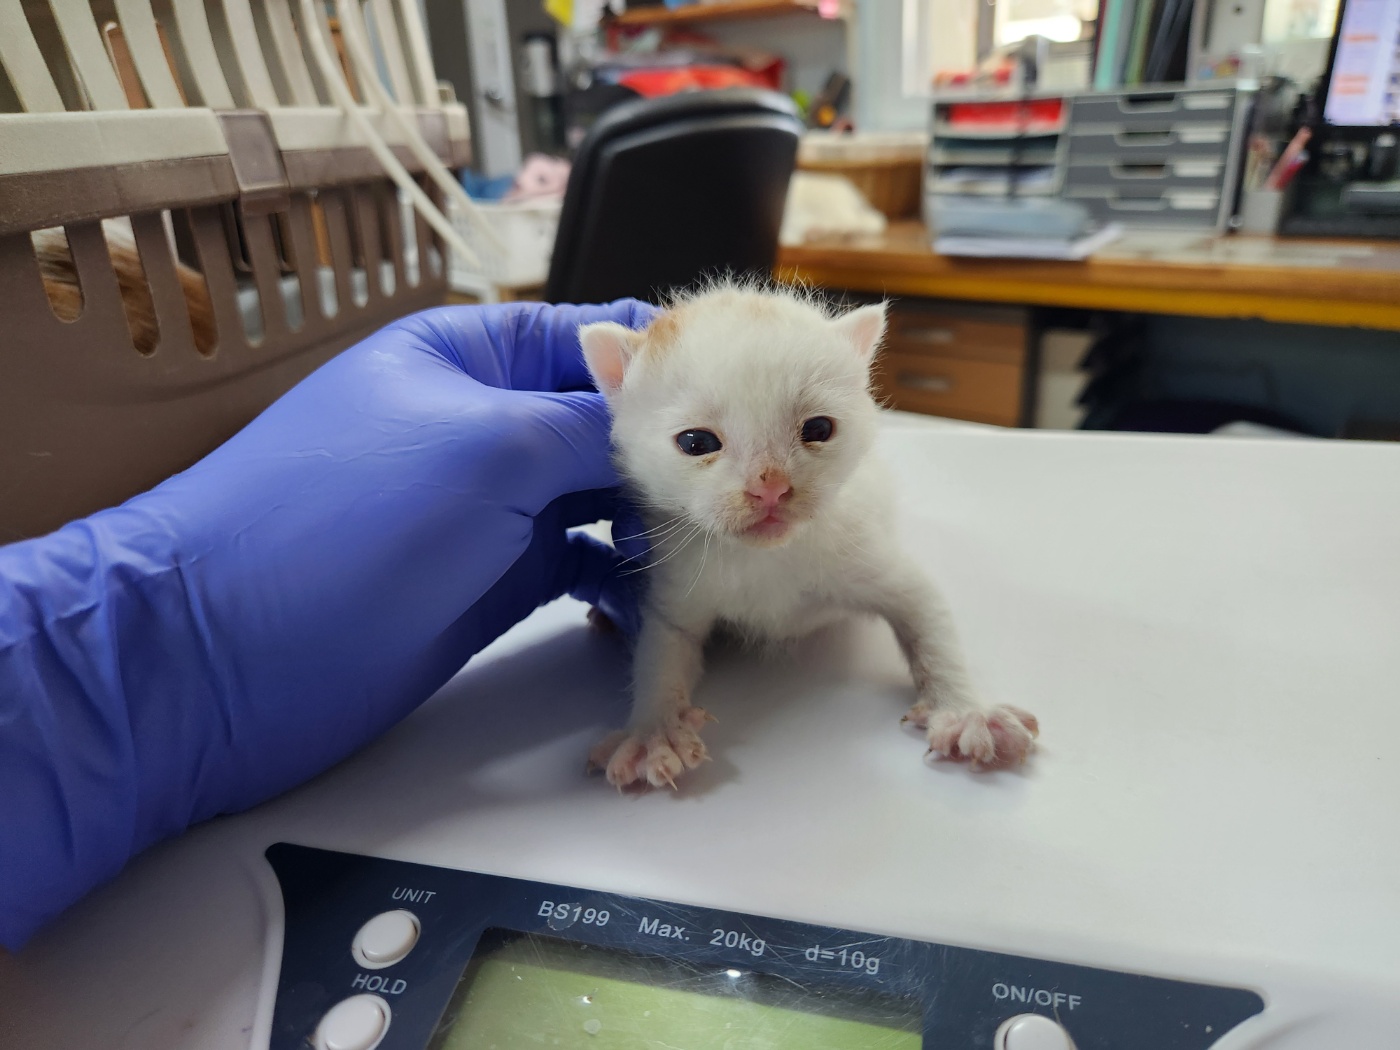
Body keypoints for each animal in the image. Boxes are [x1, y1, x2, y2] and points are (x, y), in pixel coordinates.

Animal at [579, 284, 1041, 795]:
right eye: (696, 443)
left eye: (818, 429)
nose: (770, 487)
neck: (765, 558)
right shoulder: (675, 586)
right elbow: (661, 651)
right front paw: (652, 732)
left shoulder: (873, 555)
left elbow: (928, 620)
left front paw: (965, 711)